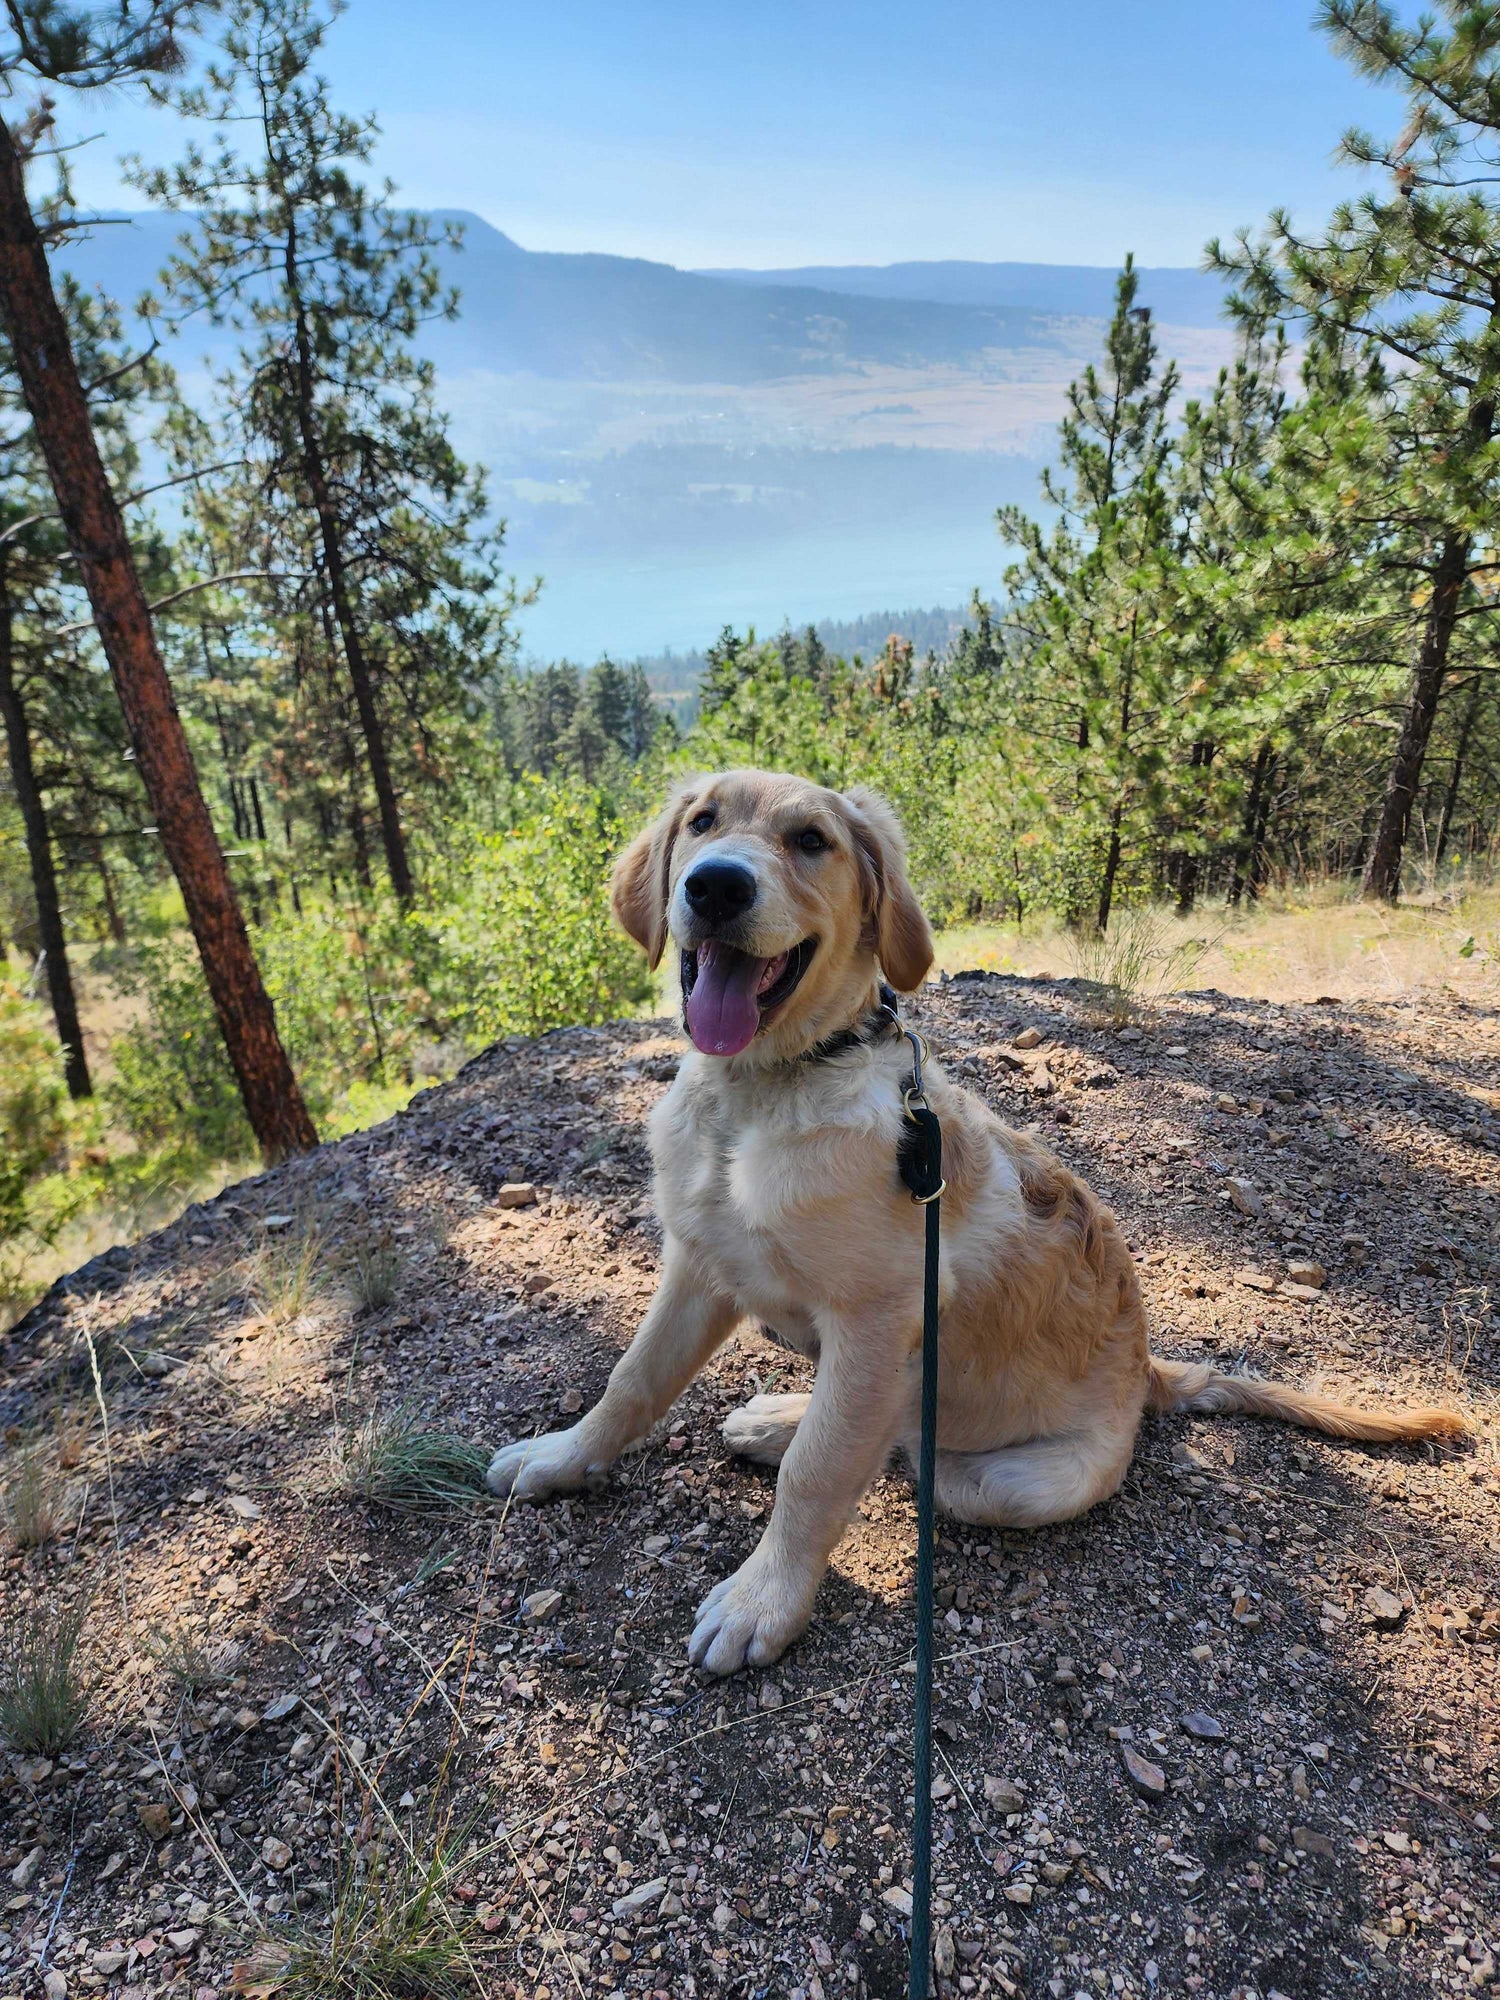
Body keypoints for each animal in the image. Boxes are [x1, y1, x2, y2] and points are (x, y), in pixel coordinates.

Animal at [490, 764, 1472, 1672]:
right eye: (701, 822)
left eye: (811, 841)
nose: (717, 886)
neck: (763, 1094)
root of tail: (1150, 1373)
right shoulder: (700, 1265)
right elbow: (632, 1380)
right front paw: (561, 1457)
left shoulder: (878, 1317)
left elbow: (819, 1472)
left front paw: (763, 1602)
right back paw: (774, 1417)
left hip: (1006, 1477)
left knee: (901, 1446)